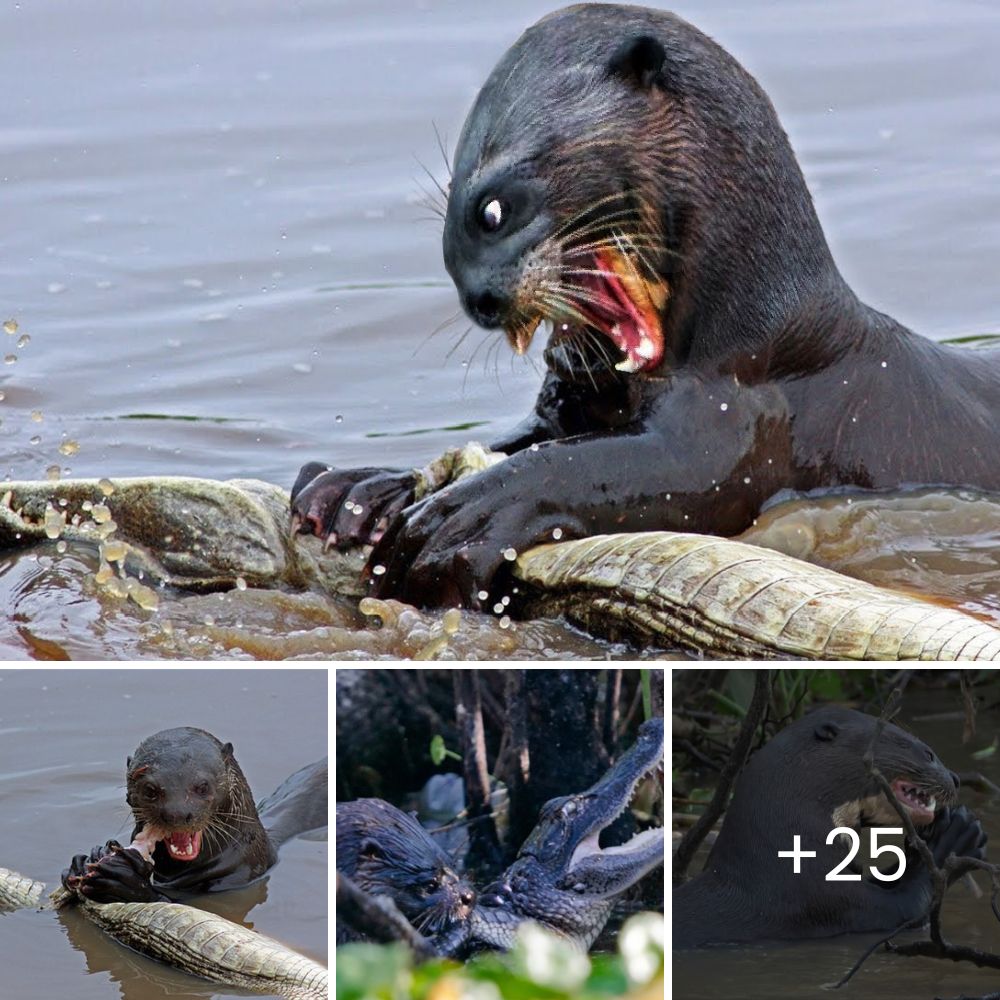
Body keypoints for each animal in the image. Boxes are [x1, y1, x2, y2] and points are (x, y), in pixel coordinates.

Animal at [62, 732, 326, 904]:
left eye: (202, 786)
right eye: (150, 789)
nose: (177, 813)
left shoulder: (238, 878)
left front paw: (126, 881)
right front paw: (86, 859)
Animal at [292, 5, 1000, 608]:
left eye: (492, 209)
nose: (478, 299)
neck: (752, 335)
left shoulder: (736, 425)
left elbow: (593, 464)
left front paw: (461, 518)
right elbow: (522, 439)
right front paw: (362, 488)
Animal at [672, 708, 984, 948]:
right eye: (928, 753)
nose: (956, 778)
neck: (784, 850)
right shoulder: (821, 897)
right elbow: (904, 909)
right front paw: (955, 836)